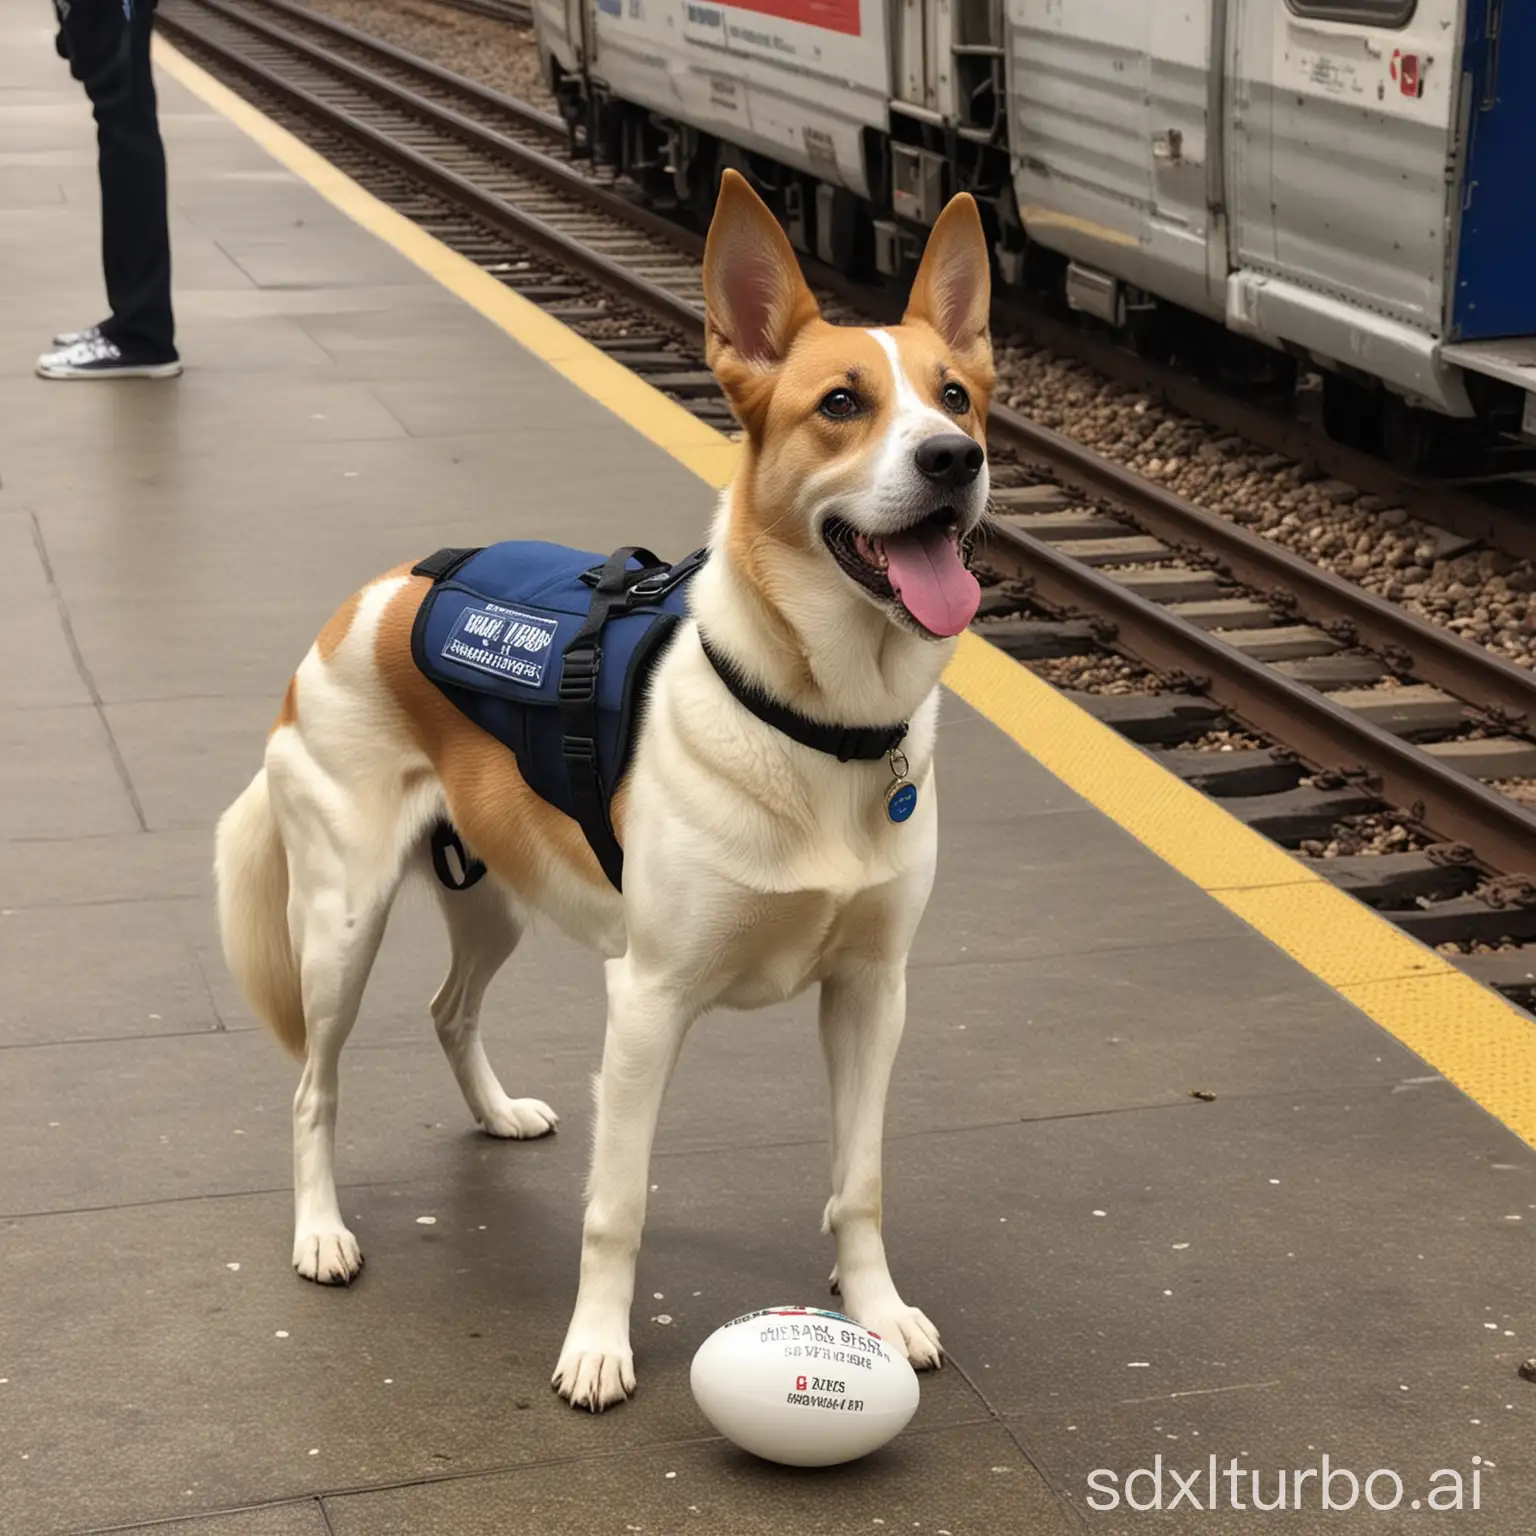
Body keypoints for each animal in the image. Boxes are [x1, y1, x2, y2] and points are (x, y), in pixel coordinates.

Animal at [216, 174, 995, 1406]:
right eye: (841, 403)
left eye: (956, 395)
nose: (953, 459)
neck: (817, 721)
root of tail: (361, 605)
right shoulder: (648, 1002)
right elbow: (615, 1207)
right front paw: (594, 1348)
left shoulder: (873, 995)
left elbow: (861, 1180)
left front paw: (876, 1313)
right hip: (340, 930)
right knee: (312, 1089)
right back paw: (322, 1234)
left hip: (493, 898)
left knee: (450, 1009)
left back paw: (495, 1114)